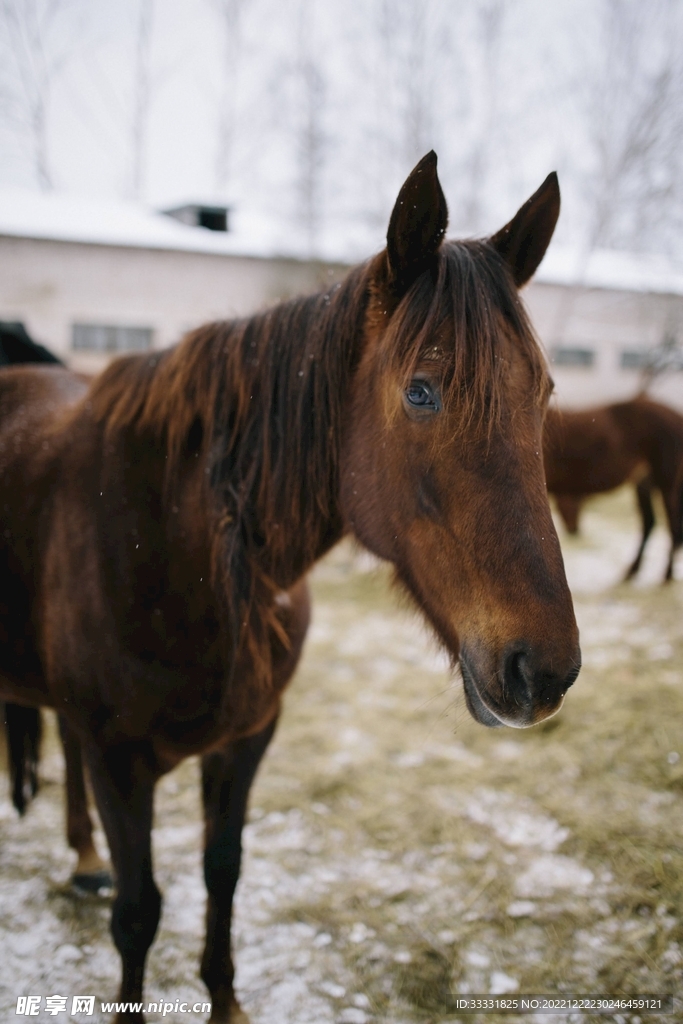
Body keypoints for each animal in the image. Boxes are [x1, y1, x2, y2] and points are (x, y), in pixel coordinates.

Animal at [0, 152, 580, 1023]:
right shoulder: (119, 759)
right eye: (420, 391)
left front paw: (226, 1001)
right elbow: (138, 915)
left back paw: (82, 858)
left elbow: (223, 873)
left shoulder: (247, 738)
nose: (543, 670)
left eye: (543, 393)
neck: (178, 546)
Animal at [544, 399, 683, 582]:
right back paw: (633, 570)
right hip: (644, 481)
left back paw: (667, 575)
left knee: (672, 524)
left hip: (666, 480)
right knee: (649, 522)